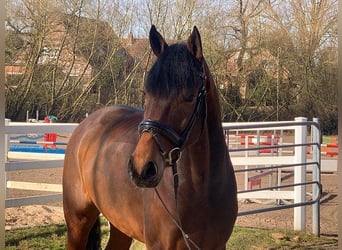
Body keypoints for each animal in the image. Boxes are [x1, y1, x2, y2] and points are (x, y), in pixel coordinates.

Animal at [62, 24, 236, 249]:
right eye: (146, 92)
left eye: (189, 97)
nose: (141, 168)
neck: (202, 188)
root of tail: (86, 124)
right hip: (77, 221)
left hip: (120, 225)